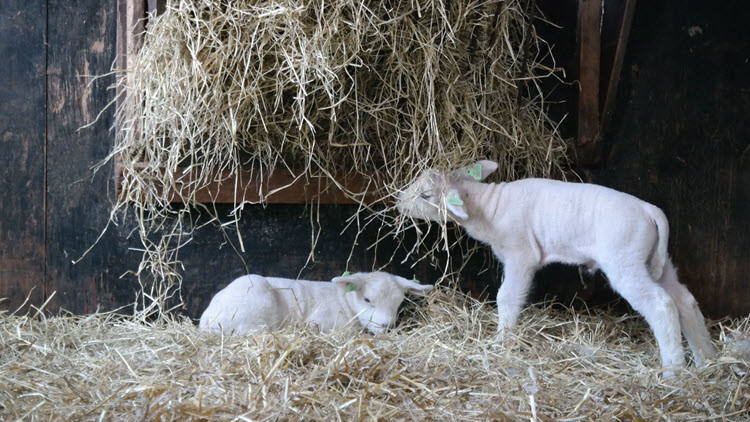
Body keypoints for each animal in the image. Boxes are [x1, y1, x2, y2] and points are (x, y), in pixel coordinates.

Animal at [199, 271, 433, 335]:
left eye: (399, 303)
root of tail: (208, 317)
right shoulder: (323, 321)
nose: (387, 326)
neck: (345, 301)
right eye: (367, 299)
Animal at [397, 160, 715, 375]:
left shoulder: (521, 254)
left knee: (661, 305)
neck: (488, 207)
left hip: (626, 261)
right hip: (656, 263)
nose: (398, 202)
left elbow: (507, 298)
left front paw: (502, 340)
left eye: (425, 195)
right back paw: (706, 359)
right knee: (685, 301)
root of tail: (651, 211)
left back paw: (673, 370)